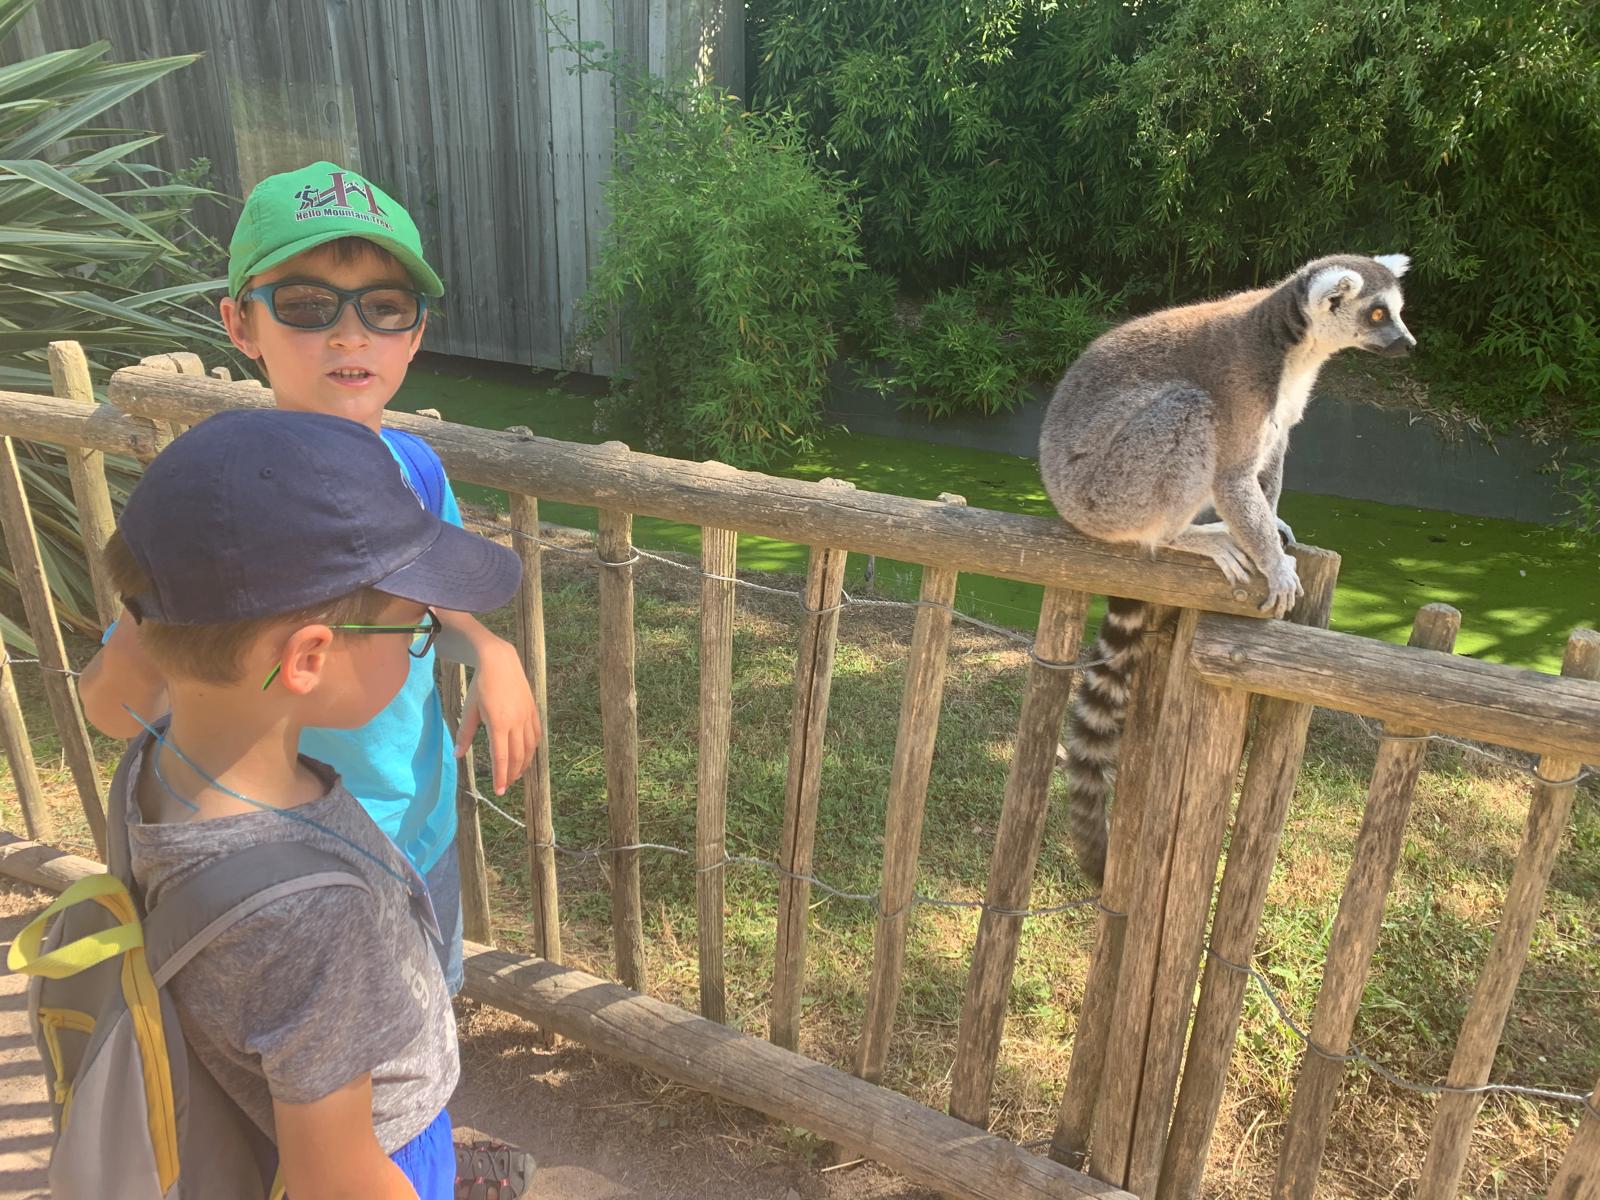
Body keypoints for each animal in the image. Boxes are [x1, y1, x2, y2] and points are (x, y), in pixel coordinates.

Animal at [1038, 254, 1415, 883]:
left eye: (1398, 312)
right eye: (1378, 314)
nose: (1408, 344)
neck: (1293, 348)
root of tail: (1063, 501)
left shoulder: (1280, 410)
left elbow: (1270, 462)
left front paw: (1277, 528)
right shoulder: (1244, 386)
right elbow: (1236, 477)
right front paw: (1275, 565)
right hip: (1113, 488)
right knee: (1190, 411)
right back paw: (1187, 536)